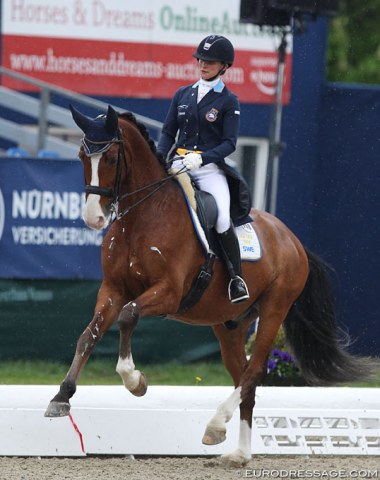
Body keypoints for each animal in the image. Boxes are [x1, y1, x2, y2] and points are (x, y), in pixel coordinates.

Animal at [45, 104, 374, 464]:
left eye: (112, 158)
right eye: (81, 156)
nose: (94, 218)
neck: (144, 216)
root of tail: (292, 239)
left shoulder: (170, 293)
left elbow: (129, 316)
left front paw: (135, 380)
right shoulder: (113, 290)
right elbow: (88, 335)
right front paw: (61, 397)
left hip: (275, 309)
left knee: (253, 372)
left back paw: (216, 424)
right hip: (230, 325)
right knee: (244, 378)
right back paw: (239, 453)